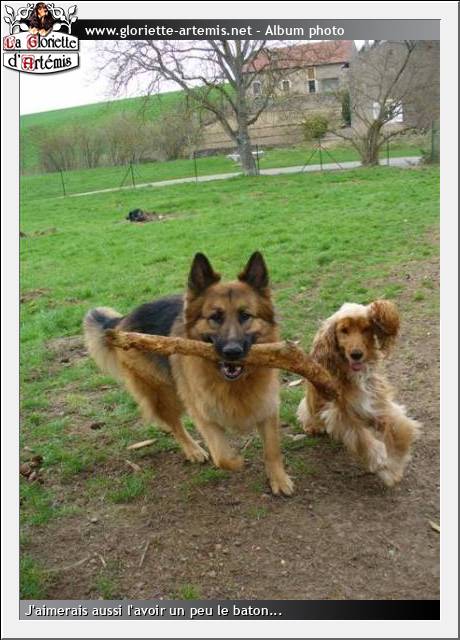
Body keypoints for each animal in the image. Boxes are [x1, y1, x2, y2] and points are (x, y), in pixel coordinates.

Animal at [84, 252, 293, 496]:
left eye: (245, 316)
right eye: (215, 317)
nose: (232, 352)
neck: (234, 383)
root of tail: (122, 320)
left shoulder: (267, 406)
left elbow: (272, 449)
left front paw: (279, 479)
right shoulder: (202, 412)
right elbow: (222, 456)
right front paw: (237, 461)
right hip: (165, 394)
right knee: (174, 424)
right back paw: (193, 450)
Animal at [297, 300, 420, 487]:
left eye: (366, 329)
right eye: (344, 330)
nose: (356, 354)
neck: (356, 376)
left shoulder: (377, 403)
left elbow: (398, 429)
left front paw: (395, 464)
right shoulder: (341, 413)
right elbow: (361, 438)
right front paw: (381, 462)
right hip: (312, 406)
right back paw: (313, 426)